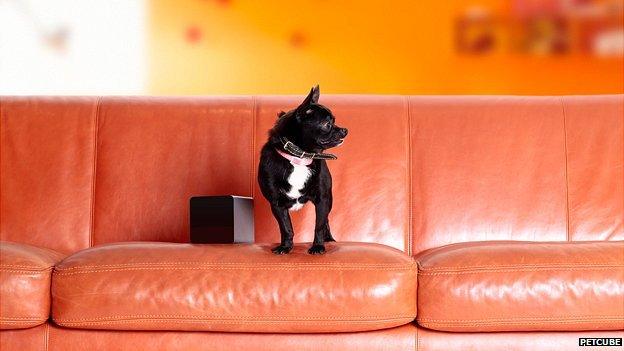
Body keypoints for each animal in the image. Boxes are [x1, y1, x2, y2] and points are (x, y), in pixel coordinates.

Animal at [258, 85, 346, 256]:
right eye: (327, 124)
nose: (345, 130)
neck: (299, 157)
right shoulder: (277, 204)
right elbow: (286, 228)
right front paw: (285, 247)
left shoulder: (323, 199)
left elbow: (319, 225)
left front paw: (318, 246)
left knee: (326, 220)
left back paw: (328, 239)